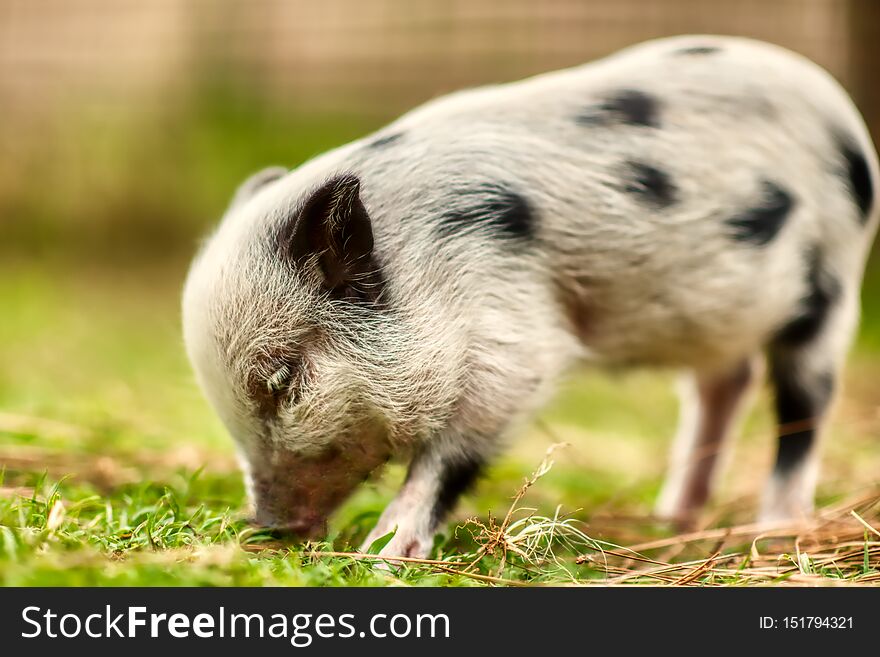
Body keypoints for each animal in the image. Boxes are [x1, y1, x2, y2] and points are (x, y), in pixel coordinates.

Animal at [182, 36, 876, 556]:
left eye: (282, 379)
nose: (267, 528)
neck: (430, 263)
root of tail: (843, 115)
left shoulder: (513, 339)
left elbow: (452, 453)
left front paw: (385, 552)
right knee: (726, 383)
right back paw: (671, 521)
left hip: (833, 289)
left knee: (804, 408)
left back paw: (777, 531)